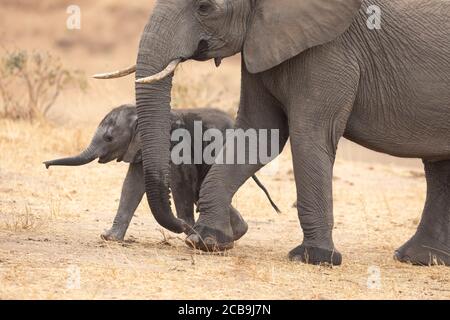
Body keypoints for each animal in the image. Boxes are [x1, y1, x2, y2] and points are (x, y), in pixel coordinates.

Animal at [45, 104, 278, 240]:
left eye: (109, 138)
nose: (46, 165)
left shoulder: (176, 145)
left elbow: (181, 184)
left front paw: (189, 233)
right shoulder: (139, 148)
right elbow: (132, 185)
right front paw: (109, 238)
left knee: (201, 188)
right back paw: (236, 233)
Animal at [97, 0, 450, 264]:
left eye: (205, 7)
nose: (184, 226)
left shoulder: (331, 48)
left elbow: (310, 135)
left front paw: (313, 258)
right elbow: (259, 133)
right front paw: (208, 241)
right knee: (438, 166)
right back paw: (417, 259)